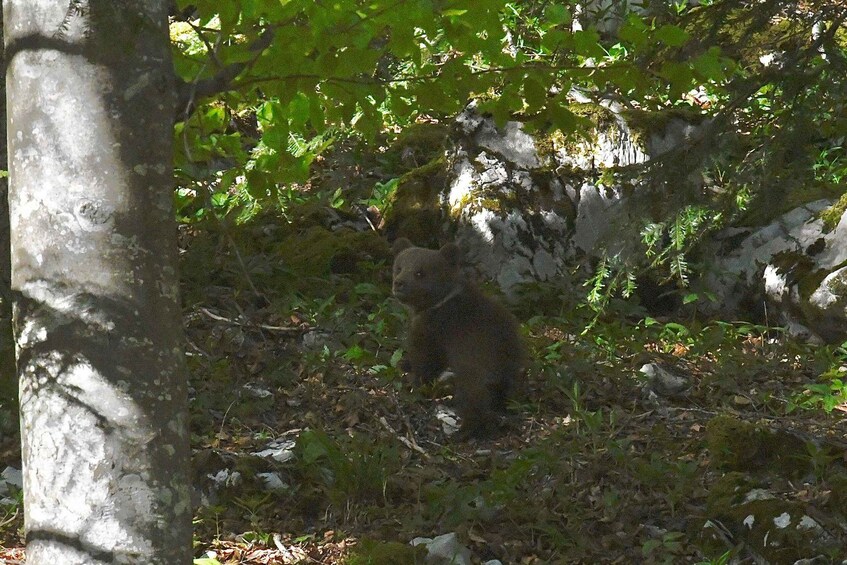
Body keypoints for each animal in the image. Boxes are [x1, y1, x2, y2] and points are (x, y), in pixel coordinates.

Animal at [391, 237, 526, 439]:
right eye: (399, 267)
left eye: (419, 272)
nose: (399, 283)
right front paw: (405, 364)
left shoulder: (436, 331)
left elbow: (426, 359)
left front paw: (414, 383)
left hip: (475, 362)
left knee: (473, 397)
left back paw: (463, 431)